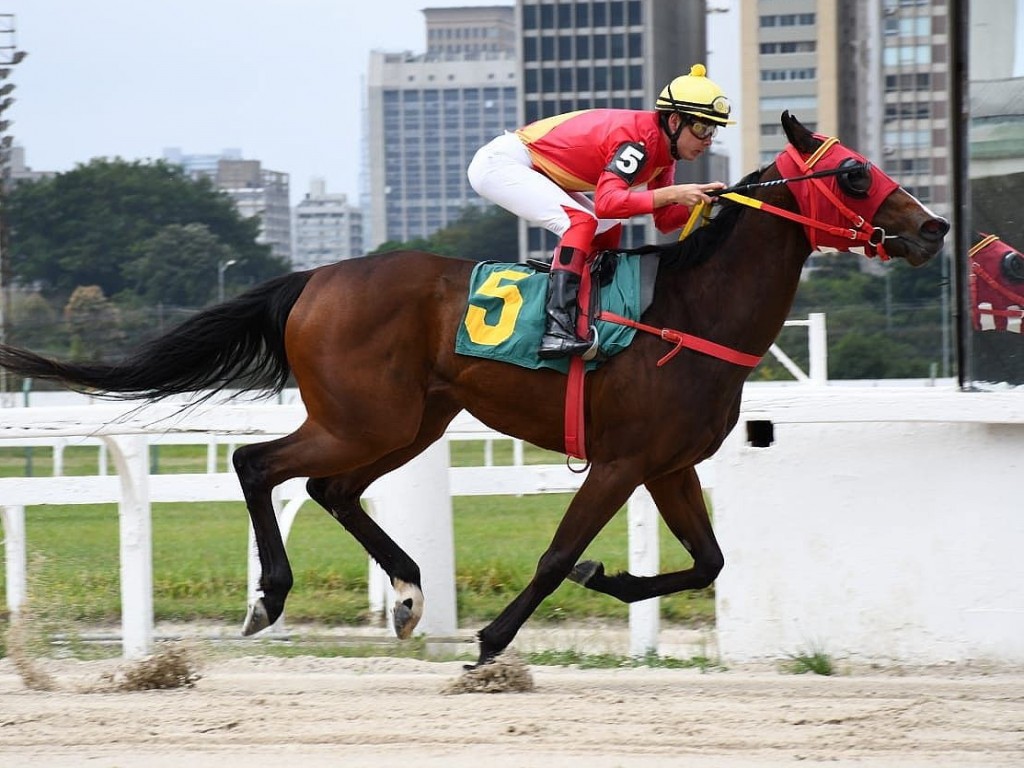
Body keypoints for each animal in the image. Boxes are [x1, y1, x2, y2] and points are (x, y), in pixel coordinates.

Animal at [0, 112, 946, 667]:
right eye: (855, 174)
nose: (934, 226)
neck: (689, 313)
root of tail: (313, 279)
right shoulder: (622, 460)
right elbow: (559, 553)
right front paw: (494, 637)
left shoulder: (668, 464)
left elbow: (708, 562)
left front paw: (610, 581)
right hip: (363, 415)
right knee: (260, 464)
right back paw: (271, 596)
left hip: (411, 420)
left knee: (329, 488)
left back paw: (409, 593)